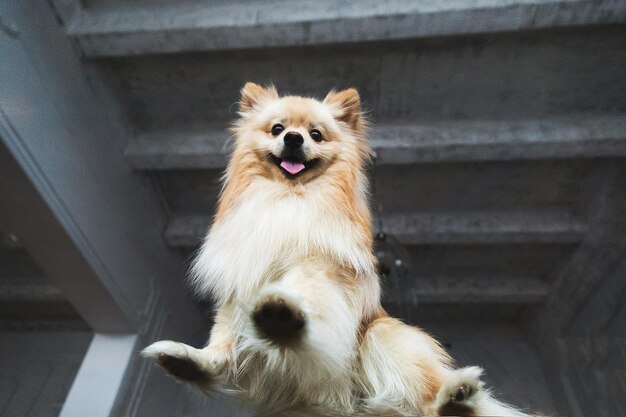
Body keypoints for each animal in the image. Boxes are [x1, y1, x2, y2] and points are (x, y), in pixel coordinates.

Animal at [143, 83, 536, 414]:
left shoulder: (319, 267)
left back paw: (454, 400)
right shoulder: (240, 284)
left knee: (425, 400)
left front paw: (282, 317)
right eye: (277, 129)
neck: (290, 197)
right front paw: (200, 361)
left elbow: (301, 291)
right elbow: (224, 339)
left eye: (315, 134)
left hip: (381, 337)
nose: (294, 138)